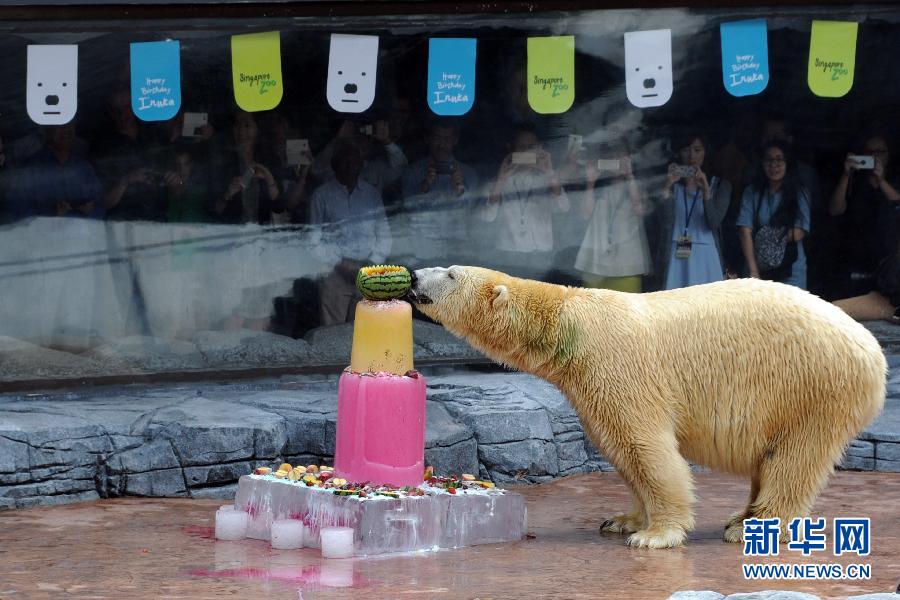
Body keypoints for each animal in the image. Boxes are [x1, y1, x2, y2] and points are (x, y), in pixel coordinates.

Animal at [408, 266, 886, 548]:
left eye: (449, 274)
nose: (413, 276)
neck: (567, 321)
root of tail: (873, 352)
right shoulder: (588, 384)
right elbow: (623, 453)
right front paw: (623, 520)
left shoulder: (617, 366)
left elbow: (646, 446)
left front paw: (655, 535)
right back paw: (742, 514)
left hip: (811, 387)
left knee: (793, 459)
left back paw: (753, 527)